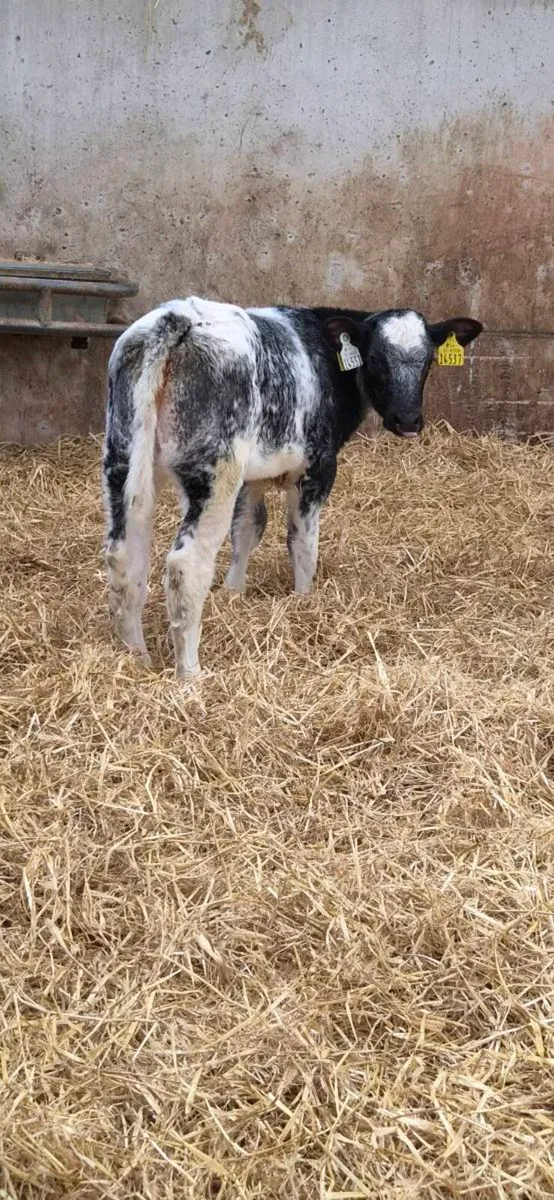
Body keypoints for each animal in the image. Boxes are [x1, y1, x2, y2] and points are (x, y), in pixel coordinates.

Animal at [103, 297, 482, 677]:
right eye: (374, 358)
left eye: (429, 359)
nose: (408, 420)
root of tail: (177, 317)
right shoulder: (316, 468)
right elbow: (302, 542)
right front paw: (303, 599)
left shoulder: (252, 478)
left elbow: (248, 529)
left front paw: (235, 591)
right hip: (214, 474)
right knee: (186, 564)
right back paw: (190, 673)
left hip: (123, 460)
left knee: (124, 555)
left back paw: (135, 658)